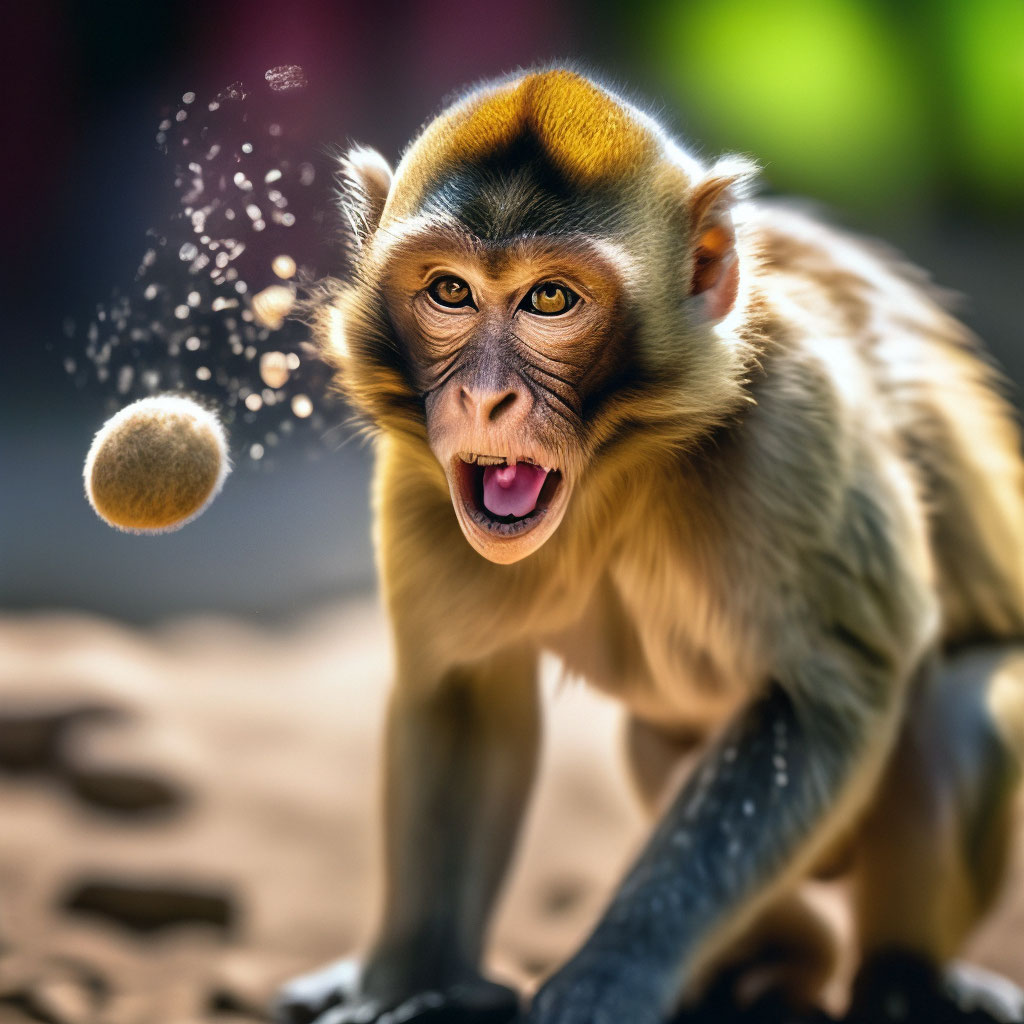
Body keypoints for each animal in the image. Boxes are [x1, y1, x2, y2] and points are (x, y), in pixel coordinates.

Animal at [274, 68, 1024, 1024]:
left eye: (550, 299)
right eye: (449, 291)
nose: (484, 399)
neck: (616, 472)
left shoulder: (795, 425)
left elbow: (824, 699)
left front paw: (613, 972)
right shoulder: (422, 475)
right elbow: (463, 696)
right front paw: (413, 982)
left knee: (958, 716)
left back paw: (901, 981)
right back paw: (776, 959)